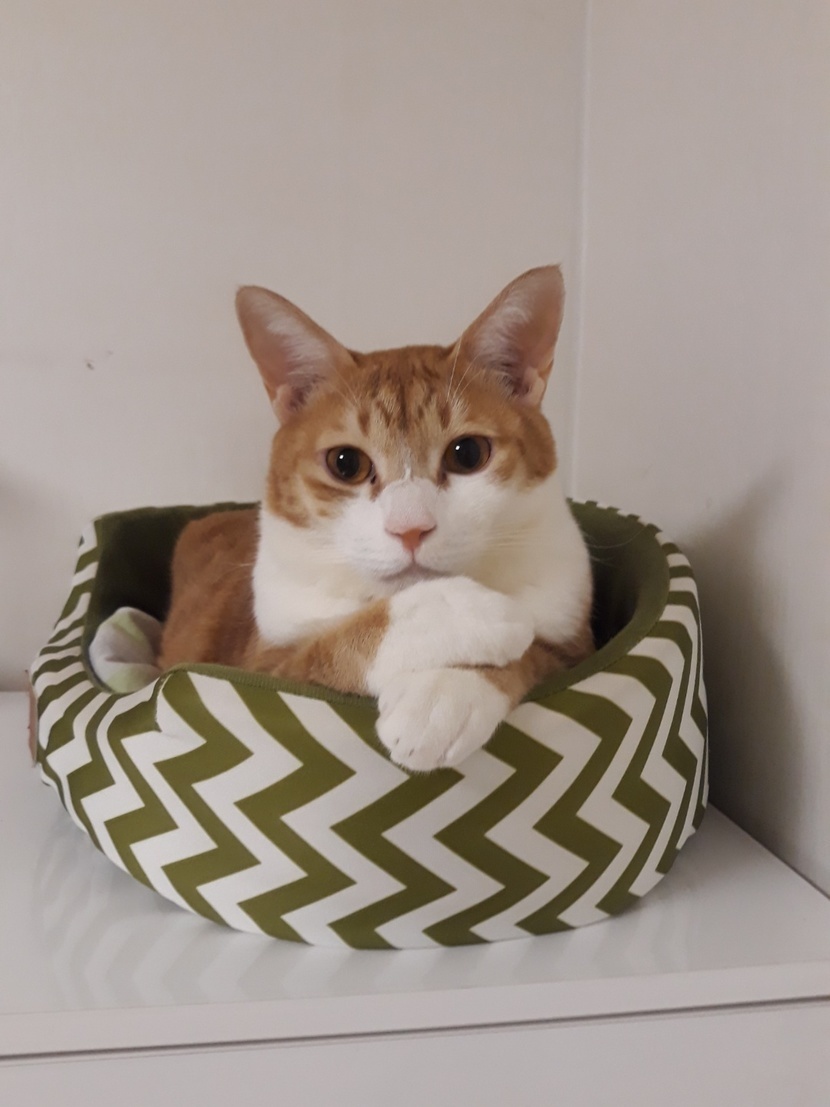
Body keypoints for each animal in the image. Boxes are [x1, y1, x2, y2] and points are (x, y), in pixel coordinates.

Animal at [158, 265, 594, 772]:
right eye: (345, 463)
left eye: (468, 454)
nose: (410, 528)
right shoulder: (259, 667)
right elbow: (327, 646)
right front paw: (461, 613)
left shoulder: (577, 647)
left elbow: (537, 652)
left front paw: (447, 690)